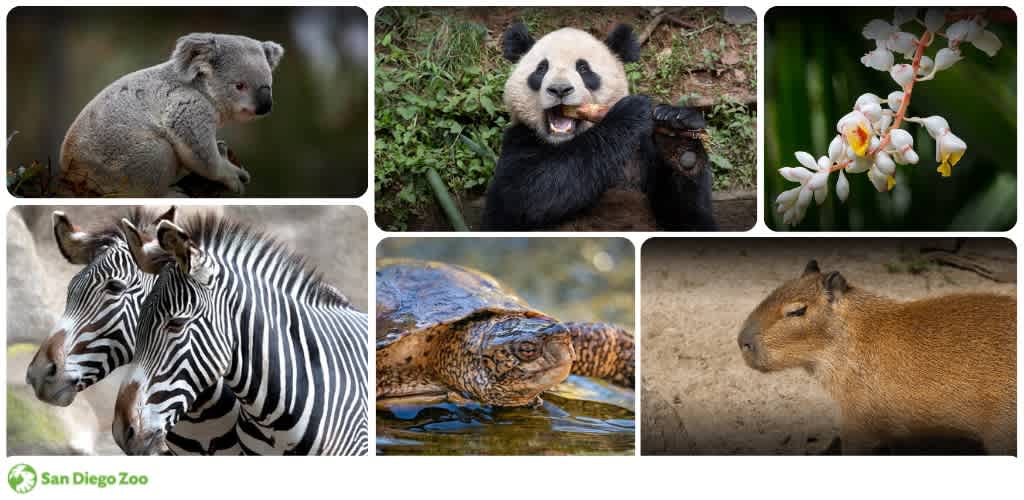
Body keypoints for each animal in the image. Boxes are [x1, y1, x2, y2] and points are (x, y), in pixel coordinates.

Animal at [481, 22, 717, 231]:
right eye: (541, 69)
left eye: (584, 68)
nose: (559, 89)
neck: (563, 143)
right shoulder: (519, 139)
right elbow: (524, 195)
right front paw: (629, 112)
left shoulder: (642, 153)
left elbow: (689, 218)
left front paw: (678, 136)